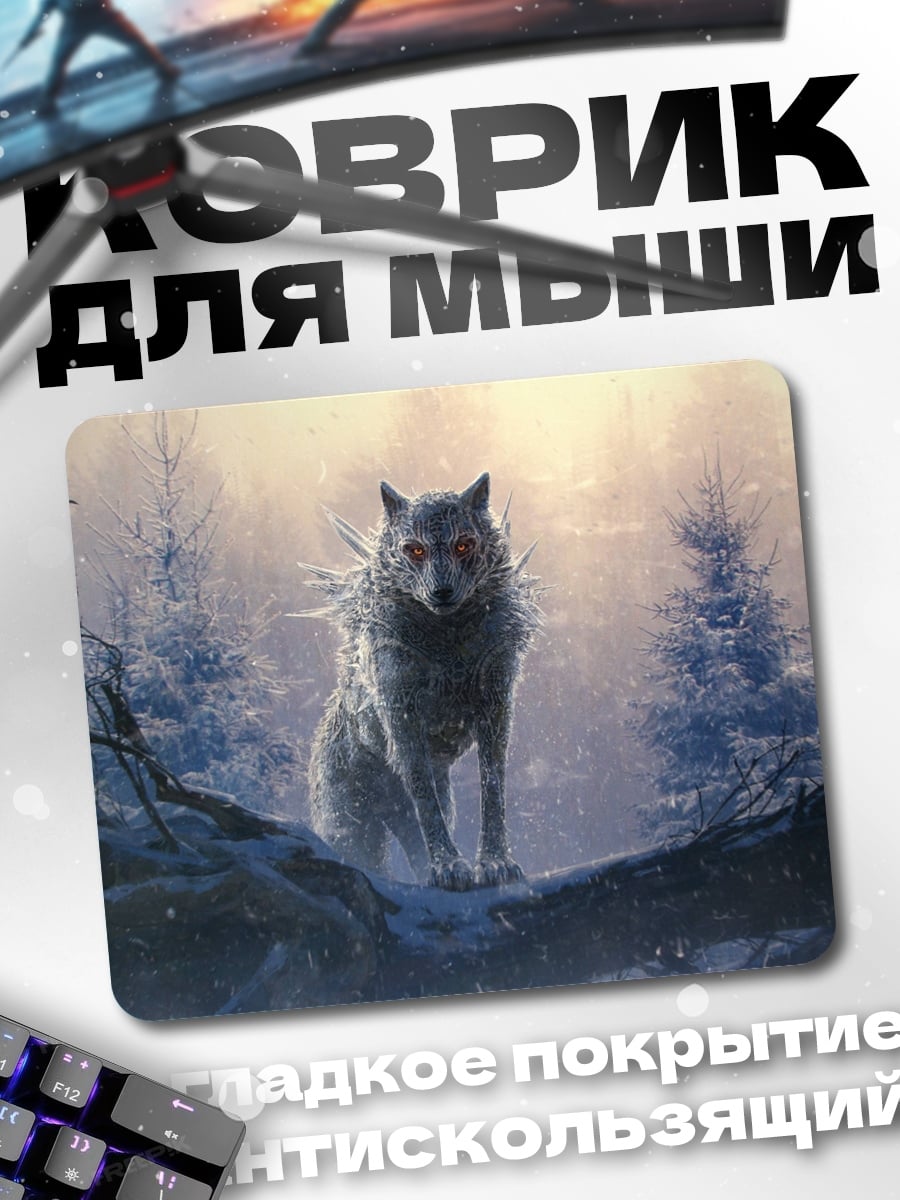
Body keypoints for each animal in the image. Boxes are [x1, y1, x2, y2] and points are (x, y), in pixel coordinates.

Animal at [303, 472, 541, 890]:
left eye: (463, 544)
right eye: (414, 550)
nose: (441, 591)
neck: (448, 639)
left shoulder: (495, 709)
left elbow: (492, 787)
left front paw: (495, 864)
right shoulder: (404, 722)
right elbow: (425, 801)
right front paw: (449, 867)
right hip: (351, 825)